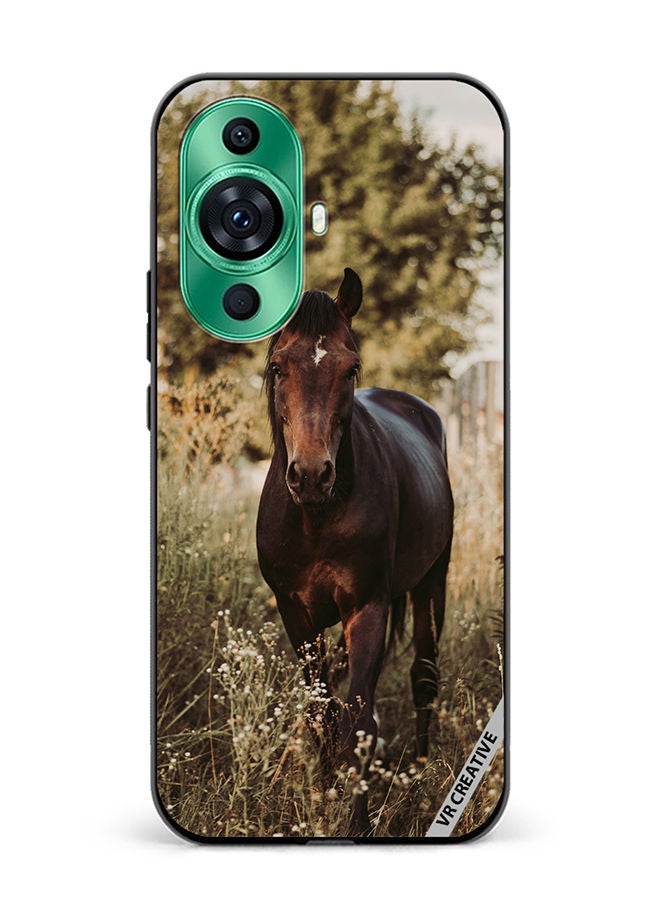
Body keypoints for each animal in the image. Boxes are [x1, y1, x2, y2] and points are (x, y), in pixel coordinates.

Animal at [256, 268, 454, 835]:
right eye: (277, 366)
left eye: (351, 369)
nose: (311, 475)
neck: (316, 517)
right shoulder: (295, 615)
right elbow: (320, 714)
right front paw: (322, 799)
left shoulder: (367, 608)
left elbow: (360, 721)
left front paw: (359, 824)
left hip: (432, 583)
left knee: (424, 679)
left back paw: (419, 778)